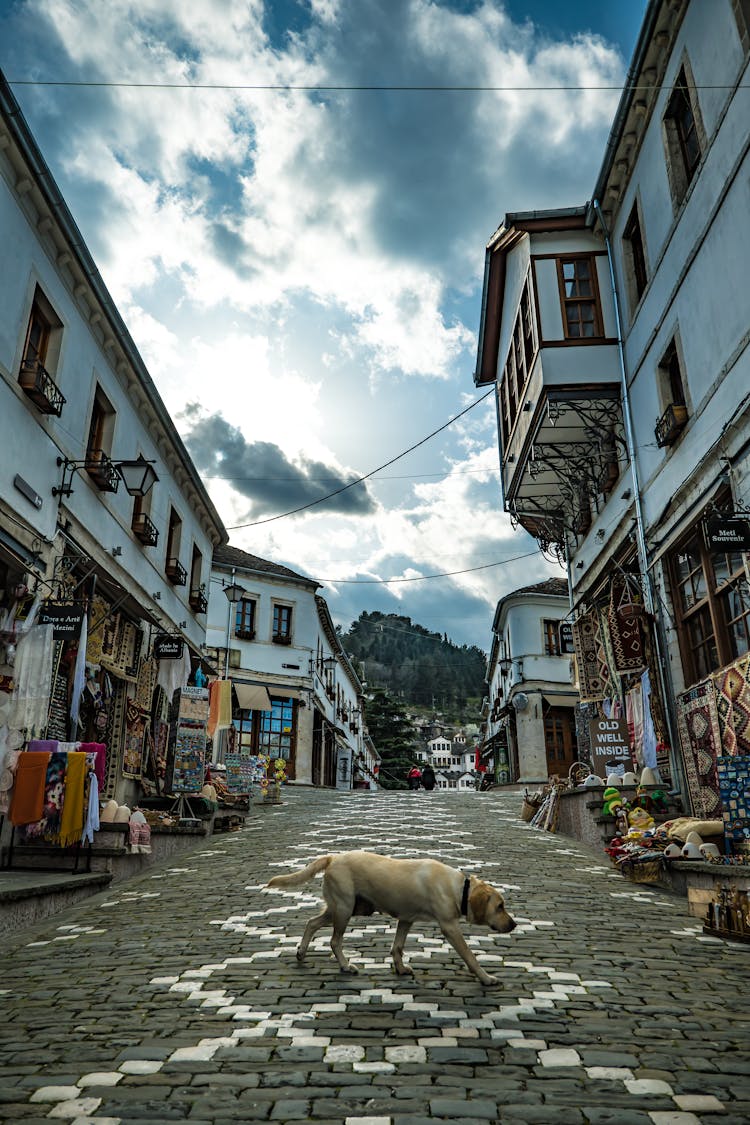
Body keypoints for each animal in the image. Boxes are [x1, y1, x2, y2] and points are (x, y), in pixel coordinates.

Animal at [265, 850, 517, 985]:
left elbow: (397, 947)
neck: (458, 889)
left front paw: (400, 969)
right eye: (500, 906)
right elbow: (470, 956)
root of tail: (333, 857)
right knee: (334, 941)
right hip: (344, 909)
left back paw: (301, 951)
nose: (514, 924)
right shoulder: (450, 927)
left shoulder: (406, 919)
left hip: (347, 908)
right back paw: (346, 966)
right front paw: (486, 978)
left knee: (311, 923)